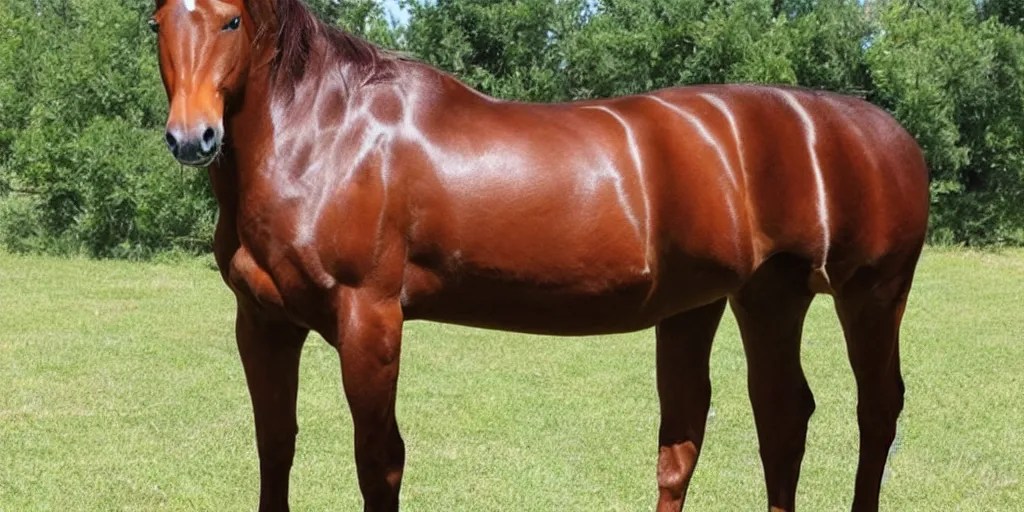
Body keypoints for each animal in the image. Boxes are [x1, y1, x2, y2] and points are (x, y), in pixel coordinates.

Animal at [148, 0, 929, 510]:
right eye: (157, 21)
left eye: (231, 19)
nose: (193, 137)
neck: (326, 136)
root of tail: (883, 131)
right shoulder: (263, 323)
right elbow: (274, 444)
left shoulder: (369, 318)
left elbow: (378, 461)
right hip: (753, 298)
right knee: (768, 418)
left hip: (870, 295)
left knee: (876, 409)